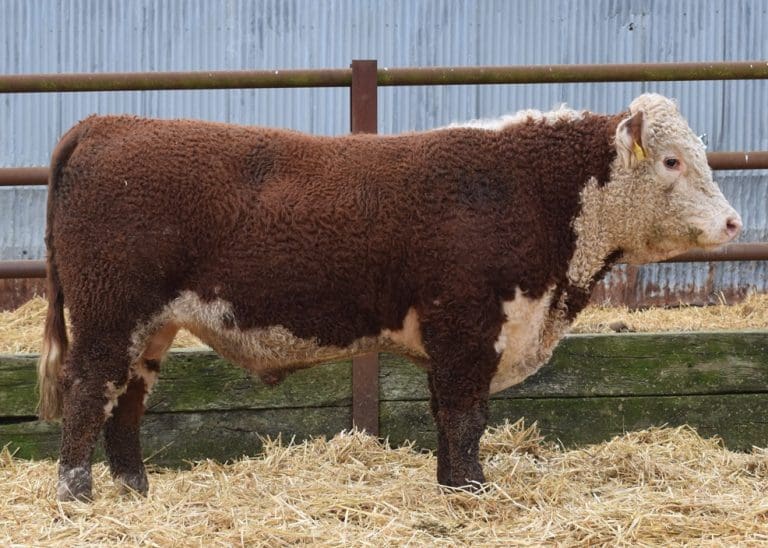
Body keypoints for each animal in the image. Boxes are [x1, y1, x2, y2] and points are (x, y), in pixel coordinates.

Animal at [37, 93, 741, 501]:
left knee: (126, 402)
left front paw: (452, 486)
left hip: (149, 326)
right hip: (109, 312)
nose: (734, 224)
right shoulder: (468, 327)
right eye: (673, 161)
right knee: (87, 392)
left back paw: (136, 490)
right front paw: (472, 493)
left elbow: (449, 418)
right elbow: (466, 417)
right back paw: (77, 495)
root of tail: (107, 122)